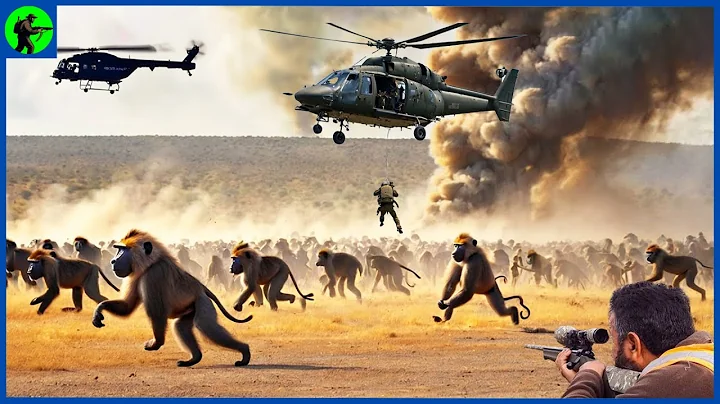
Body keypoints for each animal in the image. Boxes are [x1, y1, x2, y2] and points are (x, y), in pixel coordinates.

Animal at [91, 229, 252, 367]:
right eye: (119, 249)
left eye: (123, 250)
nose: (113, 261)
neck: (151, 262)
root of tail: (201, 288)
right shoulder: (137, 277)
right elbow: (127, 307)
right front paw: (99, 310)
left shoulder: (152, 276)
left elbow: (157, 313)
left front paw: (156, 343)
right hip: (190, 308)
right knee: (180, 326)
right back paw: (194, 358)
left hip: (202, 301)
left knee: (204, 325)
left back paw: (244, 350)